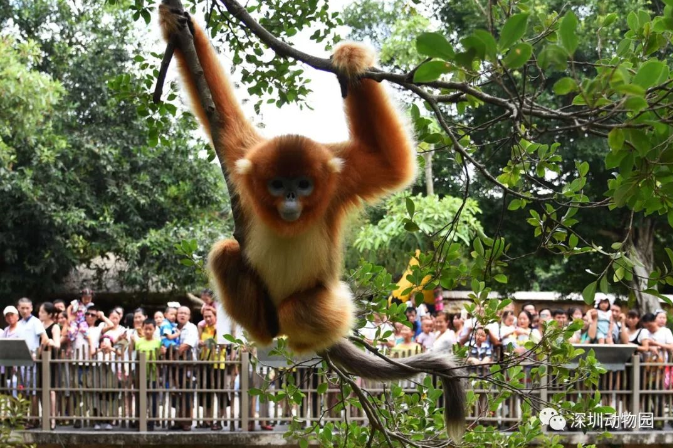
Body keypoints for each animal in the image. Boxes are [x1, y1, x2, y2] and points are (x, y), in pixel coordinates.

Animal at [158, 4, 465, 440]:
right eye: (278, 184)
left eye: (302, 184)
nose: (289, 198)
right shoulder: (244, 158)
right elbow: (222, 118)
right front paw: (175, 21)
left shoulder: (340, 181)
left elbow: (389, 162)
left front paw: (351, 59)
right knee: (227, 253)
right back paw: (263, 330)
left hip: (324, 303)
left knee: (298, 309)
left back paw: (305, 343)